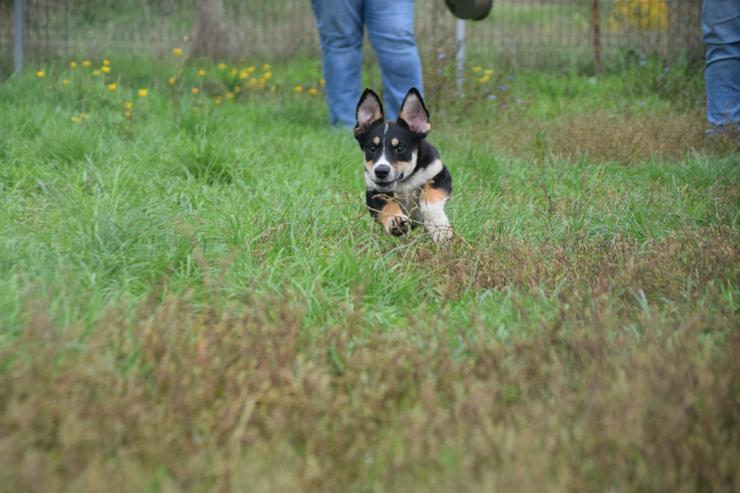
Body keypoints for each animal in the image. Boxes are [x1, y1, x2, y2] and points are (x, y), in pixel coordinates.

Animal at [352, 88, 450, 244]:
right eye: (371, 148)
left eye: (400, 148)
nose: (381, 171)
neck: (405, 182)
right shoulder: (374, 192)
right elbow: (387, 206)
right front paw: (395, 222)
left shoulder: (439, 174)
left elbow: (429, 199)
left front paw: (440, 228)